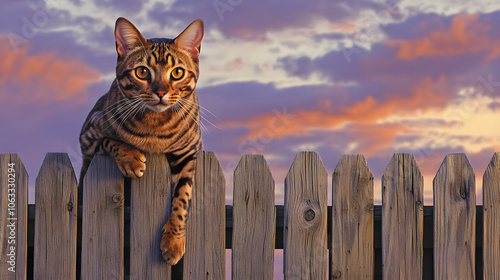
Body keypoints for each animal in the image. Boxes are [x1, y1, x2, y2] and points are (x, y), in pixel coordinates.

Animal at [78, 18, 203, 264]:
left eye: (177, 73)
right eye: (142, 71)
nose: (161, 92)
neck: (155, 127)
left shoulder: (189, 152)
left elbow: (182, 197)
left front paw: (173, 241)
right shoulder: (88, 136)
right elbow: (111, 140)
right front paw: (132, 159)